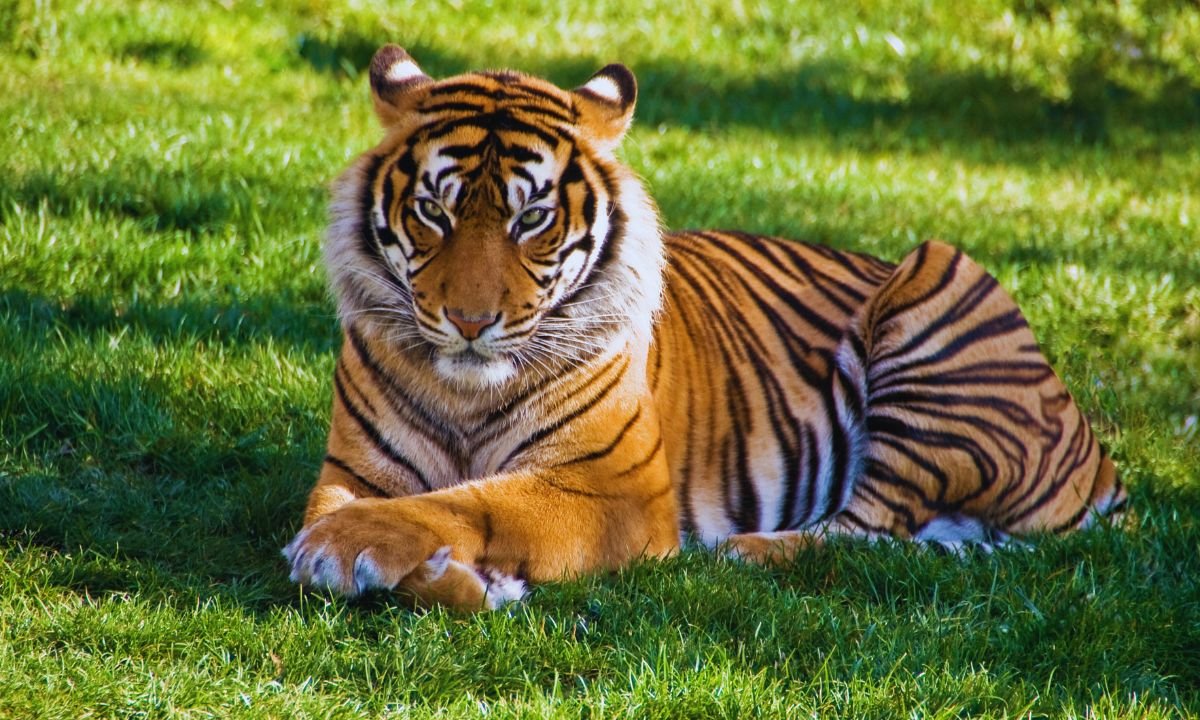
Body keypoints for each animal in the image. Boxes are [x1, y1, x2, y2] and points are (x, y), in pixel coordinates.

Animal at [282, 45, 1126, 610]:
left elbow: (472, 502)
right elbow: (376, 508)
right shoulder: (353, 469)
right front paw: (450, 577)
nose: (468, 321)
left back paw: (741, 552)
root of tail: (1098, 458)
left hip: (938, 275)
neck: (467, 392)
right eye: (435, 210)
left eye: (532, 219)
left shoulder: (612, 488)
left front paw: (345, 549)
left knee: (868, 527)